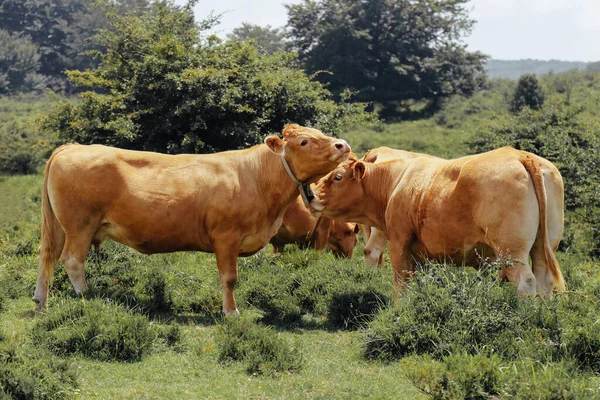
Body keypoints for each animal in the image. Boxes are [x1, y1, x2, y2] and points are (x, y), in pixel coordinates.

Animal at [34, 123, 352, 314]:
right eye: (304, 141)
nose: (343, 145)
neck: (256, 176)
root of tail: (74, 147)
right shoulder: (226, 237)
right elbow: (229, 279)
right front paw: (231, 312)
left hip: (61, 227)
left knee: (47, 256)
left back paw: (40, 300)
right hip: (80, 225)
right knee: (72, 260)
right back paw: (86, 296)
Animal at [312, 147, 564, 296]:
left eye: (337, 177)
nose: (311, 194)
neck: (396, 179)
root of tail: (520, 155)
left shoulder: (399, 242)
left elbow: (401, 283)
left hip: (512, 251)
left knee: (526, 282)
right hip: (543, 246)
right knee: (544, 280)